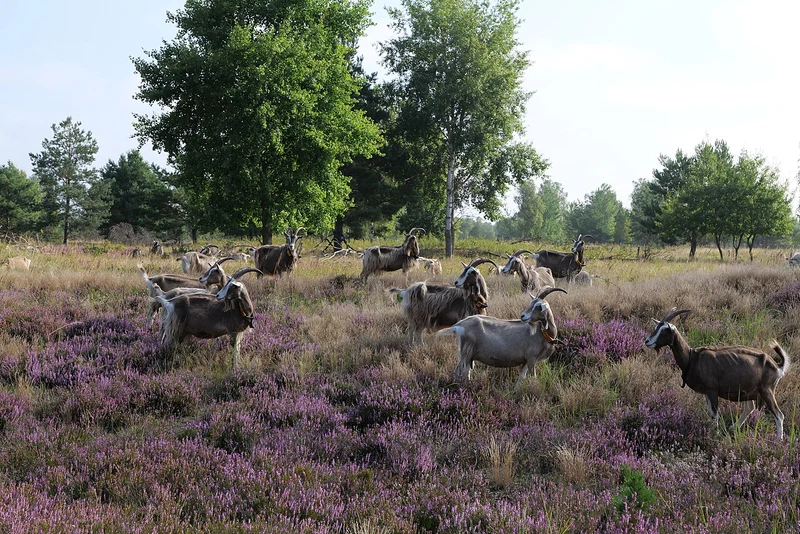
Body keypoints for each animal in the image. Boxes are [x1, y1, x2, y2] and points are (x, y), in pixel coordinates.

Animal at [438, 287, 567, 389]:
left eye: (538, 306)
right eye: (532, 304)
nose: (523, 316)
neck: (542, 334)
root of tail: (459, 325)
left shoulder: (526, 361)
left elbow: (521, 378)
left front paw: (516, 391)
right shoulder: (532, 358)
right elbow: (533, 378)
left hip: (467, 354)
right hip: (466, 353)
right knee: (461, 371)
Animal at [645, 308, 791, 439]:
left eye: (665, 330)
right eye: (656, 327)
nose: (647, 341)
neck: (692, 358)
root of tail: (777, 366)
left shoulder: (712, 390)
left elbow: (715, 414)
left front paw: (715, 435)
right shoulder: (706, 393)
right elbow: (710, 413)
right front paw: (710, 431)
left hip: (767, 390)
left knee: (779, 415)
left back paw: (778, 440)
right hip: (748, 390)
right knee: (750, 407)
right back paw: (733, 428)